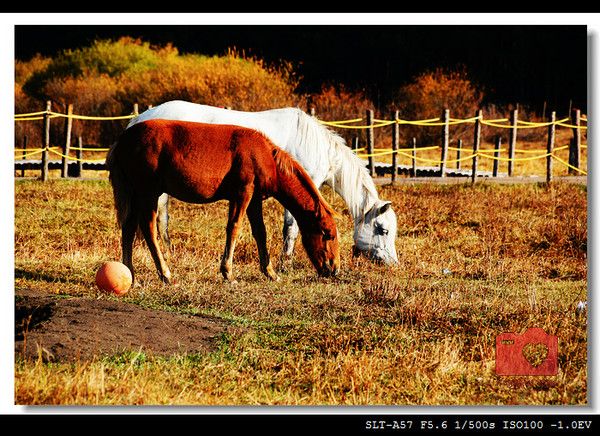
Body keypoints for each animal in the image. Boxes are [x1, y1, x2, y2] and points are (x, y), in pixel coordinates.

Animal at [127, 101, 398, 266]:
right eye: (382, 230)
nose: (392, 263)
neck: (313, 143)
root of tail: (140, 119)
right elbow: (291, 228)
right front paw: (285, 262)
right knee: (160, 219)